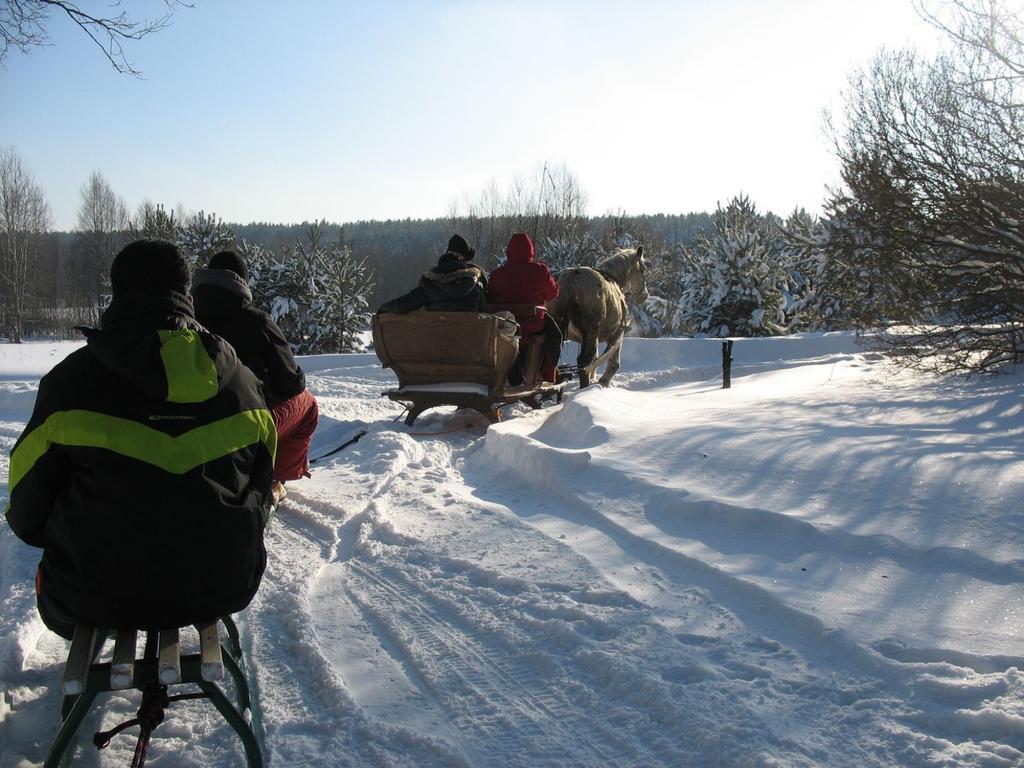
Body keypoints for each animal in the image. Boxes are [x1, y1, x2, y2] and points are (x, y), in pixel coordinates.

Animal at [544, 246, 647, 387]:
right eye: (643, 269)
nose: (644, 295)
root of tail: (570, 278)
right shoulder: (616, 333)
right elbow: (612, 362)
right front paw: (603, 382)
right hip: (591, 332)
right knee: (584, 363)